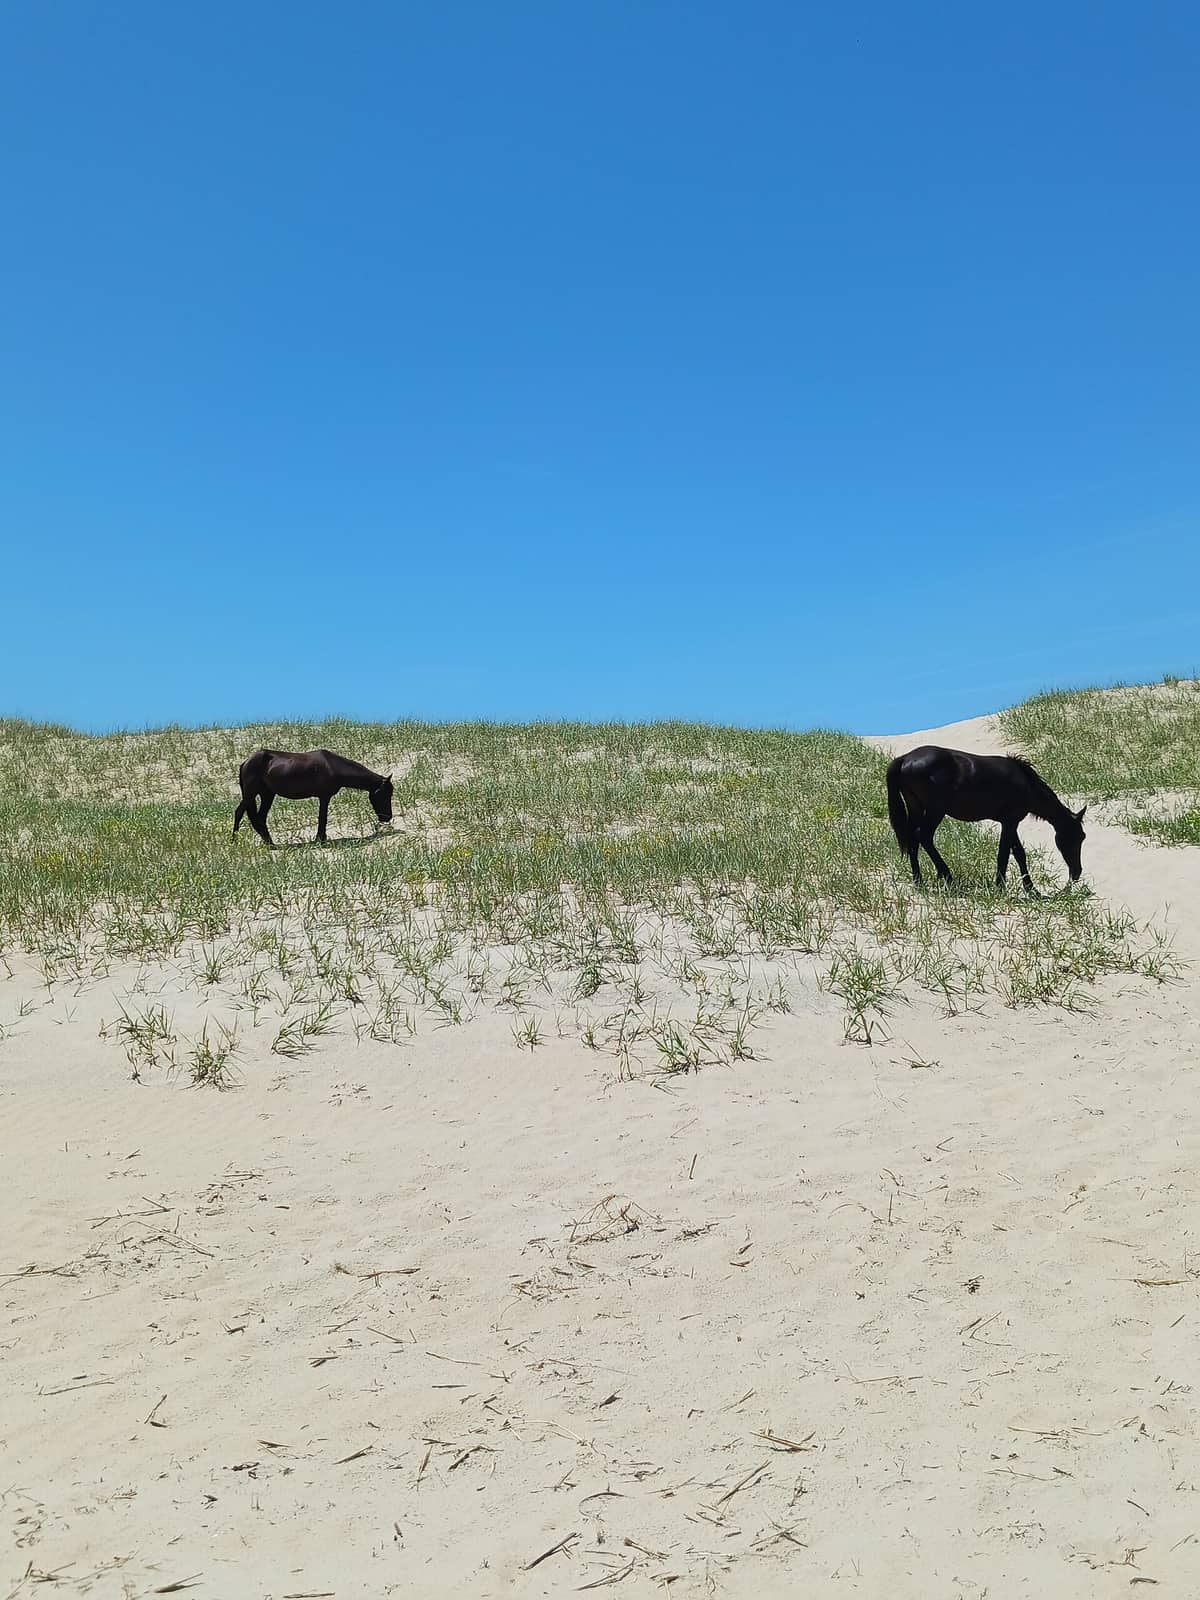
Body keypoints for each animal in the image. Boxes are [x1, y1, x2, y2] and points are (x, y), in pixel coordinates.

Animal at [233, 748, 394, 849]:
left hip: (267, 795)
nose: (387, 817)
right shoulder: (324, 797)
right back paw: (234, 840)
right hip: (251, 794)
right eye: (386, 794)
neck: (333, 766)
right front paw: (320, 839)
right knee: (239, 812)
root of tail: (246, 762)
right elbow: (322, 818)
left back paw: (270, 844)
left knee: (260, 818)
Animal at [886, 746, 1086, 893]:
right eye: (1077, 838)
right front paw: (1001, 886)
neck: (1026, 785)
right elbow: (1004, 853)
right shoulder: (1010, 822)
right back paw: (948, 877)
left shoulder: (1009, 822)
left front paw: (1031, 889)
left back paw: (918, 881)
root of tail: (906, 758)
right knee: (924, 837)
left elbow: (1018, 854)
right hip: (935, 811)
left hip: (916, 808)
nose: (1077, 873)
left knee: (913, 840)